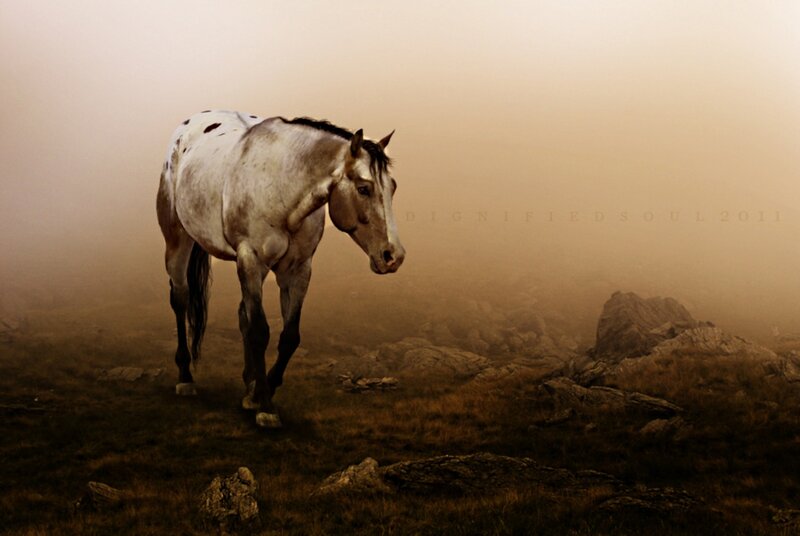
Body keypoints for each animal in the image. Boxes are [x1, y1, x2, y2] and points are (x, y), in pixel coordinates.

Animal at [156, 111, 405, 428]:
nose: (393, 256)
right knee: (181, 300)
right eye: (364, 188)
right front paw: (265, 407)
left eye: (392, 188)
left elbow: (288, 336)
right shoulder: (251, 258)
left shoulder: (297, 270)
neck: (281, 186)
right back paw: (186, 378)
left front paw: (258, 393)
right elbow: (260, 331)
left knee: (242, 315)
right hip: (178, 241)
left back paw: (248, 381)